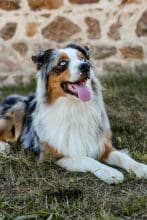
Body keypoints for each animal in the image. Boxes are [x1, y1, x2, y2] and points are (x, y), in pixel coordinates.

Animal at [0, 43, 147, 184]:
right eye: (62, 63)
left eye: (83, 59)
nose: (86, 67)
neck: (74, 107)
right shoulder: (53, 155)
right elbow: (86, 159)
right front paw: (110, 173)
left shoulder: (102, 146)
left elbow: (123, 157)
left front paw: (141, 168)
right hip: (18, 108)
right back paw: (4, 147)